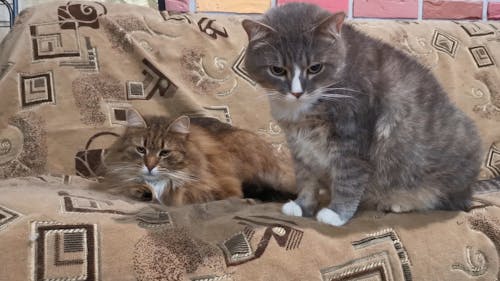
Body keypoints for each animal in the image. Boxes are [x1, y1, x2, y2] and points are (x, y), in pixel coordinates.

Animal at [241, 2, 496, 225]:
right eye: (277, 70)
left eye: (315, 68)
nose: (297, 92)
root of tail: (471, 186)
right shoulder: (299, 145)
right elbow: (306, 177)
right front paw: (302, 206)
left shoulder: (354, 138)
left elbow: (348, 178)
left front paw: (335, 214)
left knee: (447, 200)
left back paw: (402, 203)